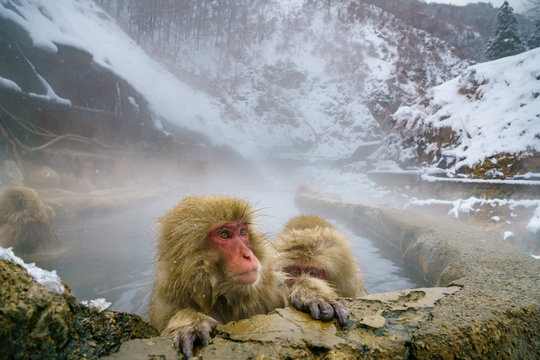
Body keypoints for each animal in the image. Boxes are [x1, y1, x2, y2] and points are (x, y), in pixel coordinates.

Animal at [148, 195, 350, 358]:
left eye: (243, 232)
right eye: (224, 235)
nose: (248, 255)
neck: (221, 296)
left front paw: (311, 292)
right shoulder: (164, 304)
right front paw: (189, 322)